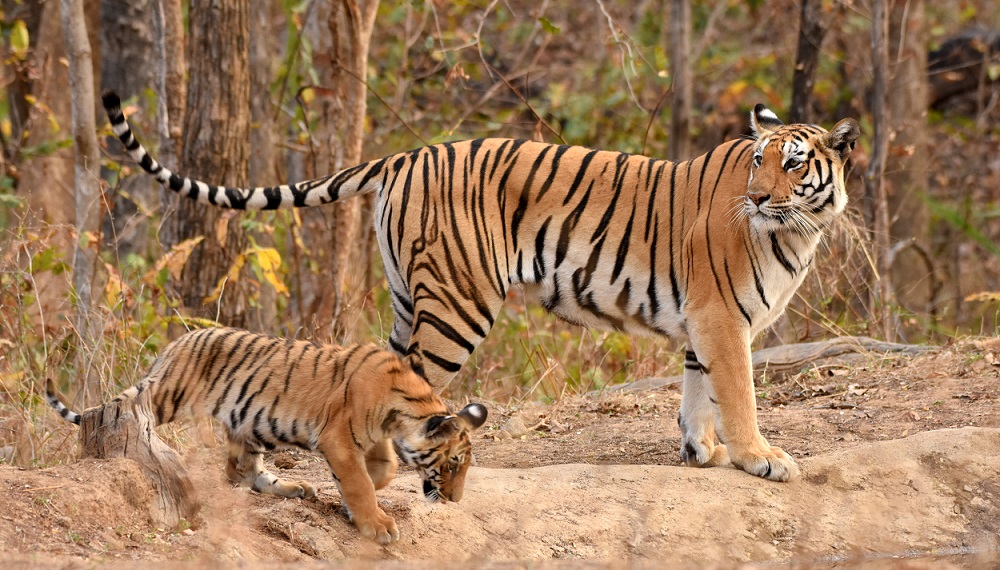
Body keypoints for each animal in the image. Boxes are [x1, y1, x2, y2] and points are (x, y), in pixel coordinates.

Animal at [45, 327, 489, 544]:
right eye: (453, 464)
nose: (455, 500)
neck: (401, 411)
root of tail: (176, 343)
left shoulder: (370, 437)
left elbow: (385, 469)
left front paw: (355, 498)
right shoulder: (339, 438)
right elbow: (361, 483)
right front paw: (376, 524)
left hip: (252, 424)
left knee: (244, 470)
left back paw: (293, 488)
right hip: (168, 396)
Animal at [103, 91, 859, 482]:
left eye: (793, 164)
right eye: (759, 162)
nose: (757, 198)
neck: (799, 229)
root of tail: (404, 155)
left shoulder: (703, 324)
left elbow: (698, 393)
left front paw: (704, 452)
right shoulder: (723, 320)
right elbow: (739, 394)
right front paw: (761, 458)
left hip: (408, 300)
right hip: (457, 307)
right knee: (406, 388)